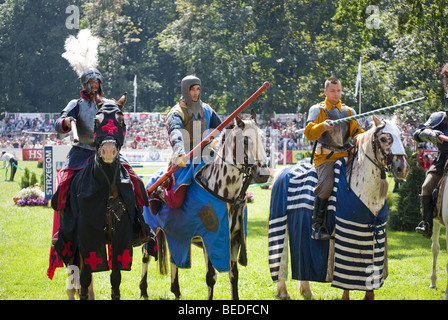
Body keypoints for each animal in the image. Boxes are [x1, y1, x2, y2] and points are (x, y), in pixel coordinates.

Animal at [53, 93, 151, 300]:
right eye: (96, 121)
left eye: (121, 120)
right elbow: (84, 278)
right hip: (70, 244)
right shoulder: (86, 239)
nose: (108, 151)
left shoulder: (120, 238)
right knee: (74, 275)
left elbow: (115, 278)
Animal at [270, 115, 410, 300]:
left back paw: (306, 290)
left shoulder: (374, 231)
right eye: (384, 139)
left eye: (401, 136)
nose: (402, 168)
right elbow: (347, 280)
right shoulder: (347, 234)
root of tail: (284, 170)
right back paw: (283, 291)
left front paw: (369, 295)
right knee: (281, 255)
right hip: (281, 222)